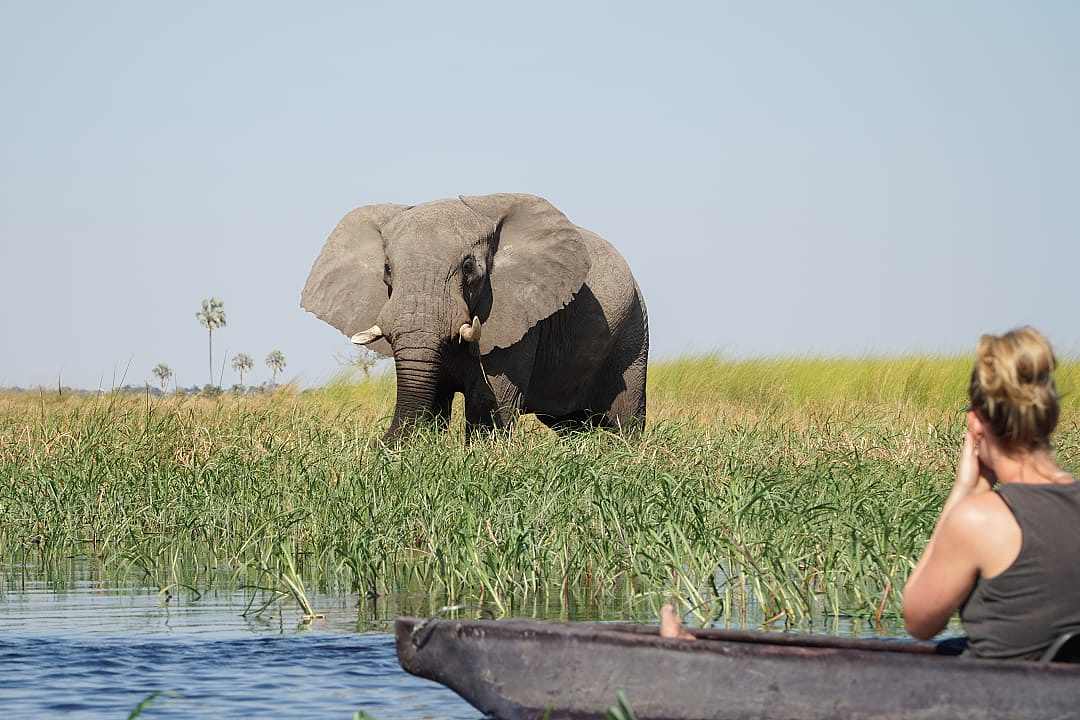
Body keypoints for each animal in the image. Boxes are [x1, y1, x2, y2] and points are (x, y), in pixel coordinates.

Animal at [301, 193, 649, 439]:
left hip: (633, 329)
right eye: (387, 269)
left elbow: (487, 403)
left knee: (625, 419)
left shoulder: (516, 317)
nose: (380, 443)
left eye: (468, 267)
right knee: (570, 427)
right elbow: (433, 400)